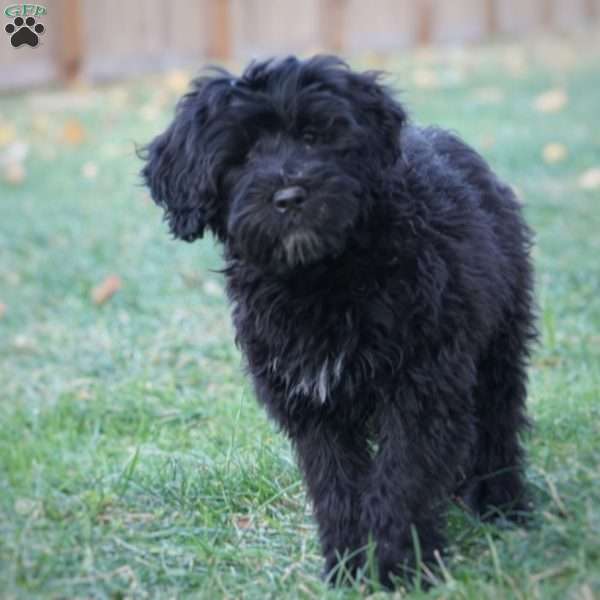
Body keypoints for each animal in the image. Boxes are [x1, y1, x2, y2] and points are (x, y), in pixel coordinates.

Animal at [143, 55, 536, 584]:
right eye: (241, 156)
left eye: (313, 136)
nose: (290, 195)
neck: (323, 280)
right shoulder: (310, 400)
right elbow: (335, 482)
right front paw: (349, 560)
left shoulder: (421, 383)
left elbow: (403, 474)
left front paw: (395, 564)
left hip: (499, 337)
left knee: (498, 420)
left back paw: (502, 504)